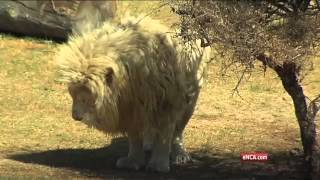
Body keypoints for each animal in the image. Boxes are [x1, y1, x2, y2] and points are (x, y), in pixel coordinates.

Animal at [56, 14, 211, 172]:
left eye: (87, 96)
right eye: (73, 93)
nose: (75, 117)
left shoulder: (166, 103)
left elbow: (164, 135)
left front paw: (158, 165)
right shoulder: (130, 107)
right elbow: (134, 138)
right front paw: (133, 161)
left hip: (190, 99)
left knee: (178, 131)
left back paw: (180, 155)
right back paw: (148, 144)